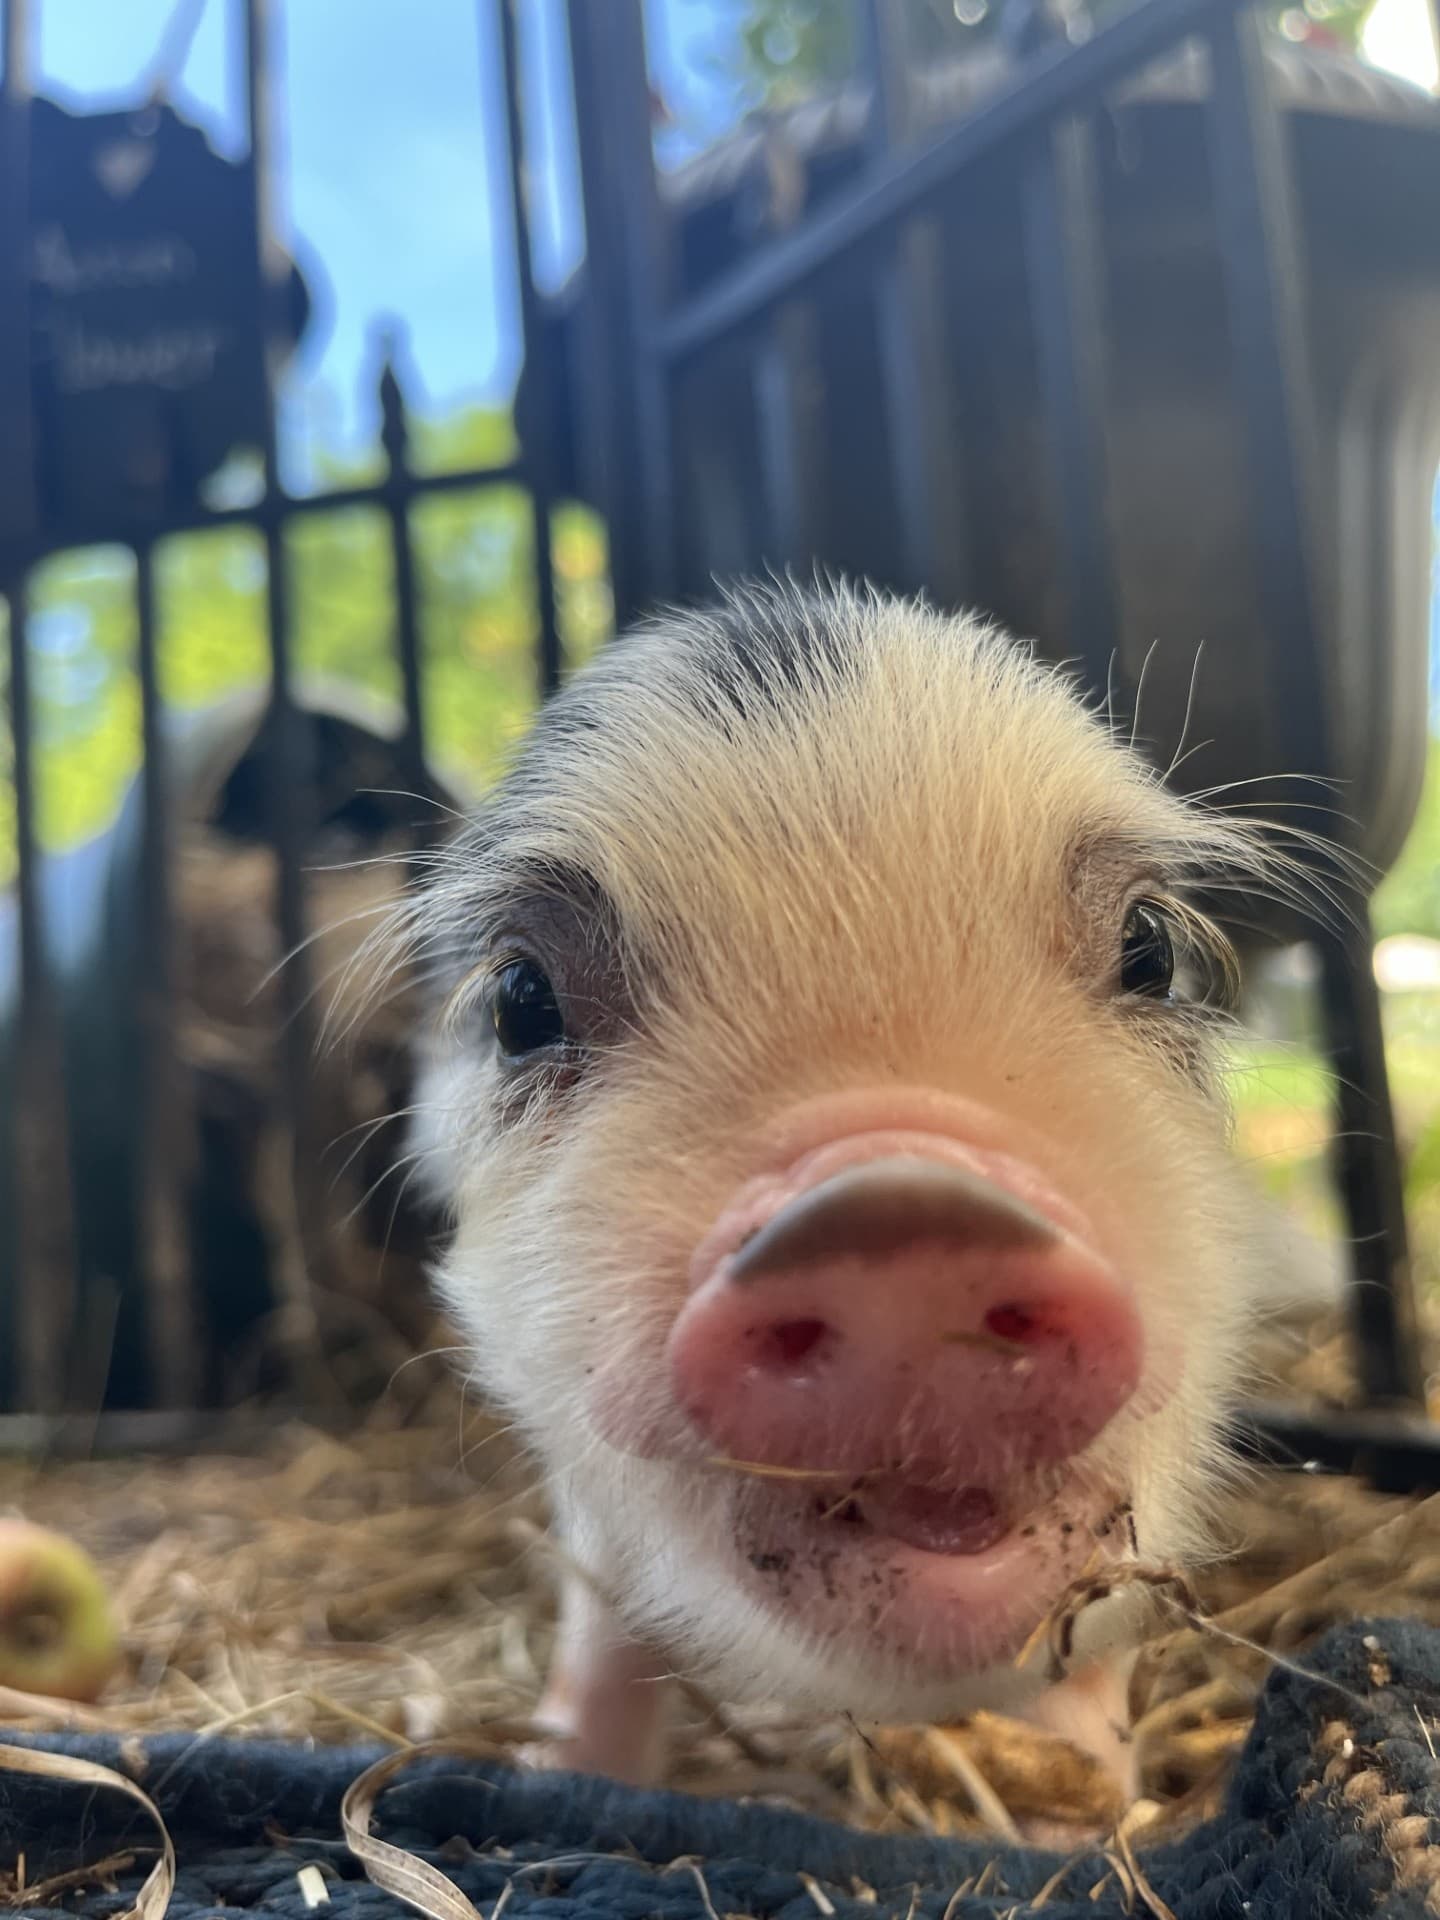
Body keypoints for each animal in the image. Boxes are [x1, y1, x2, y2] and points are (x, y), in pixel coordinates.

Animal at [397, 578, 1295, 1796]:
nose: (904, 1202)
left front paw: (1090, 1798)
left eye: (1148, 947)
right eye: (521, 1001)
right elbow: (604, 1625)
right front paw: (567, 1773)